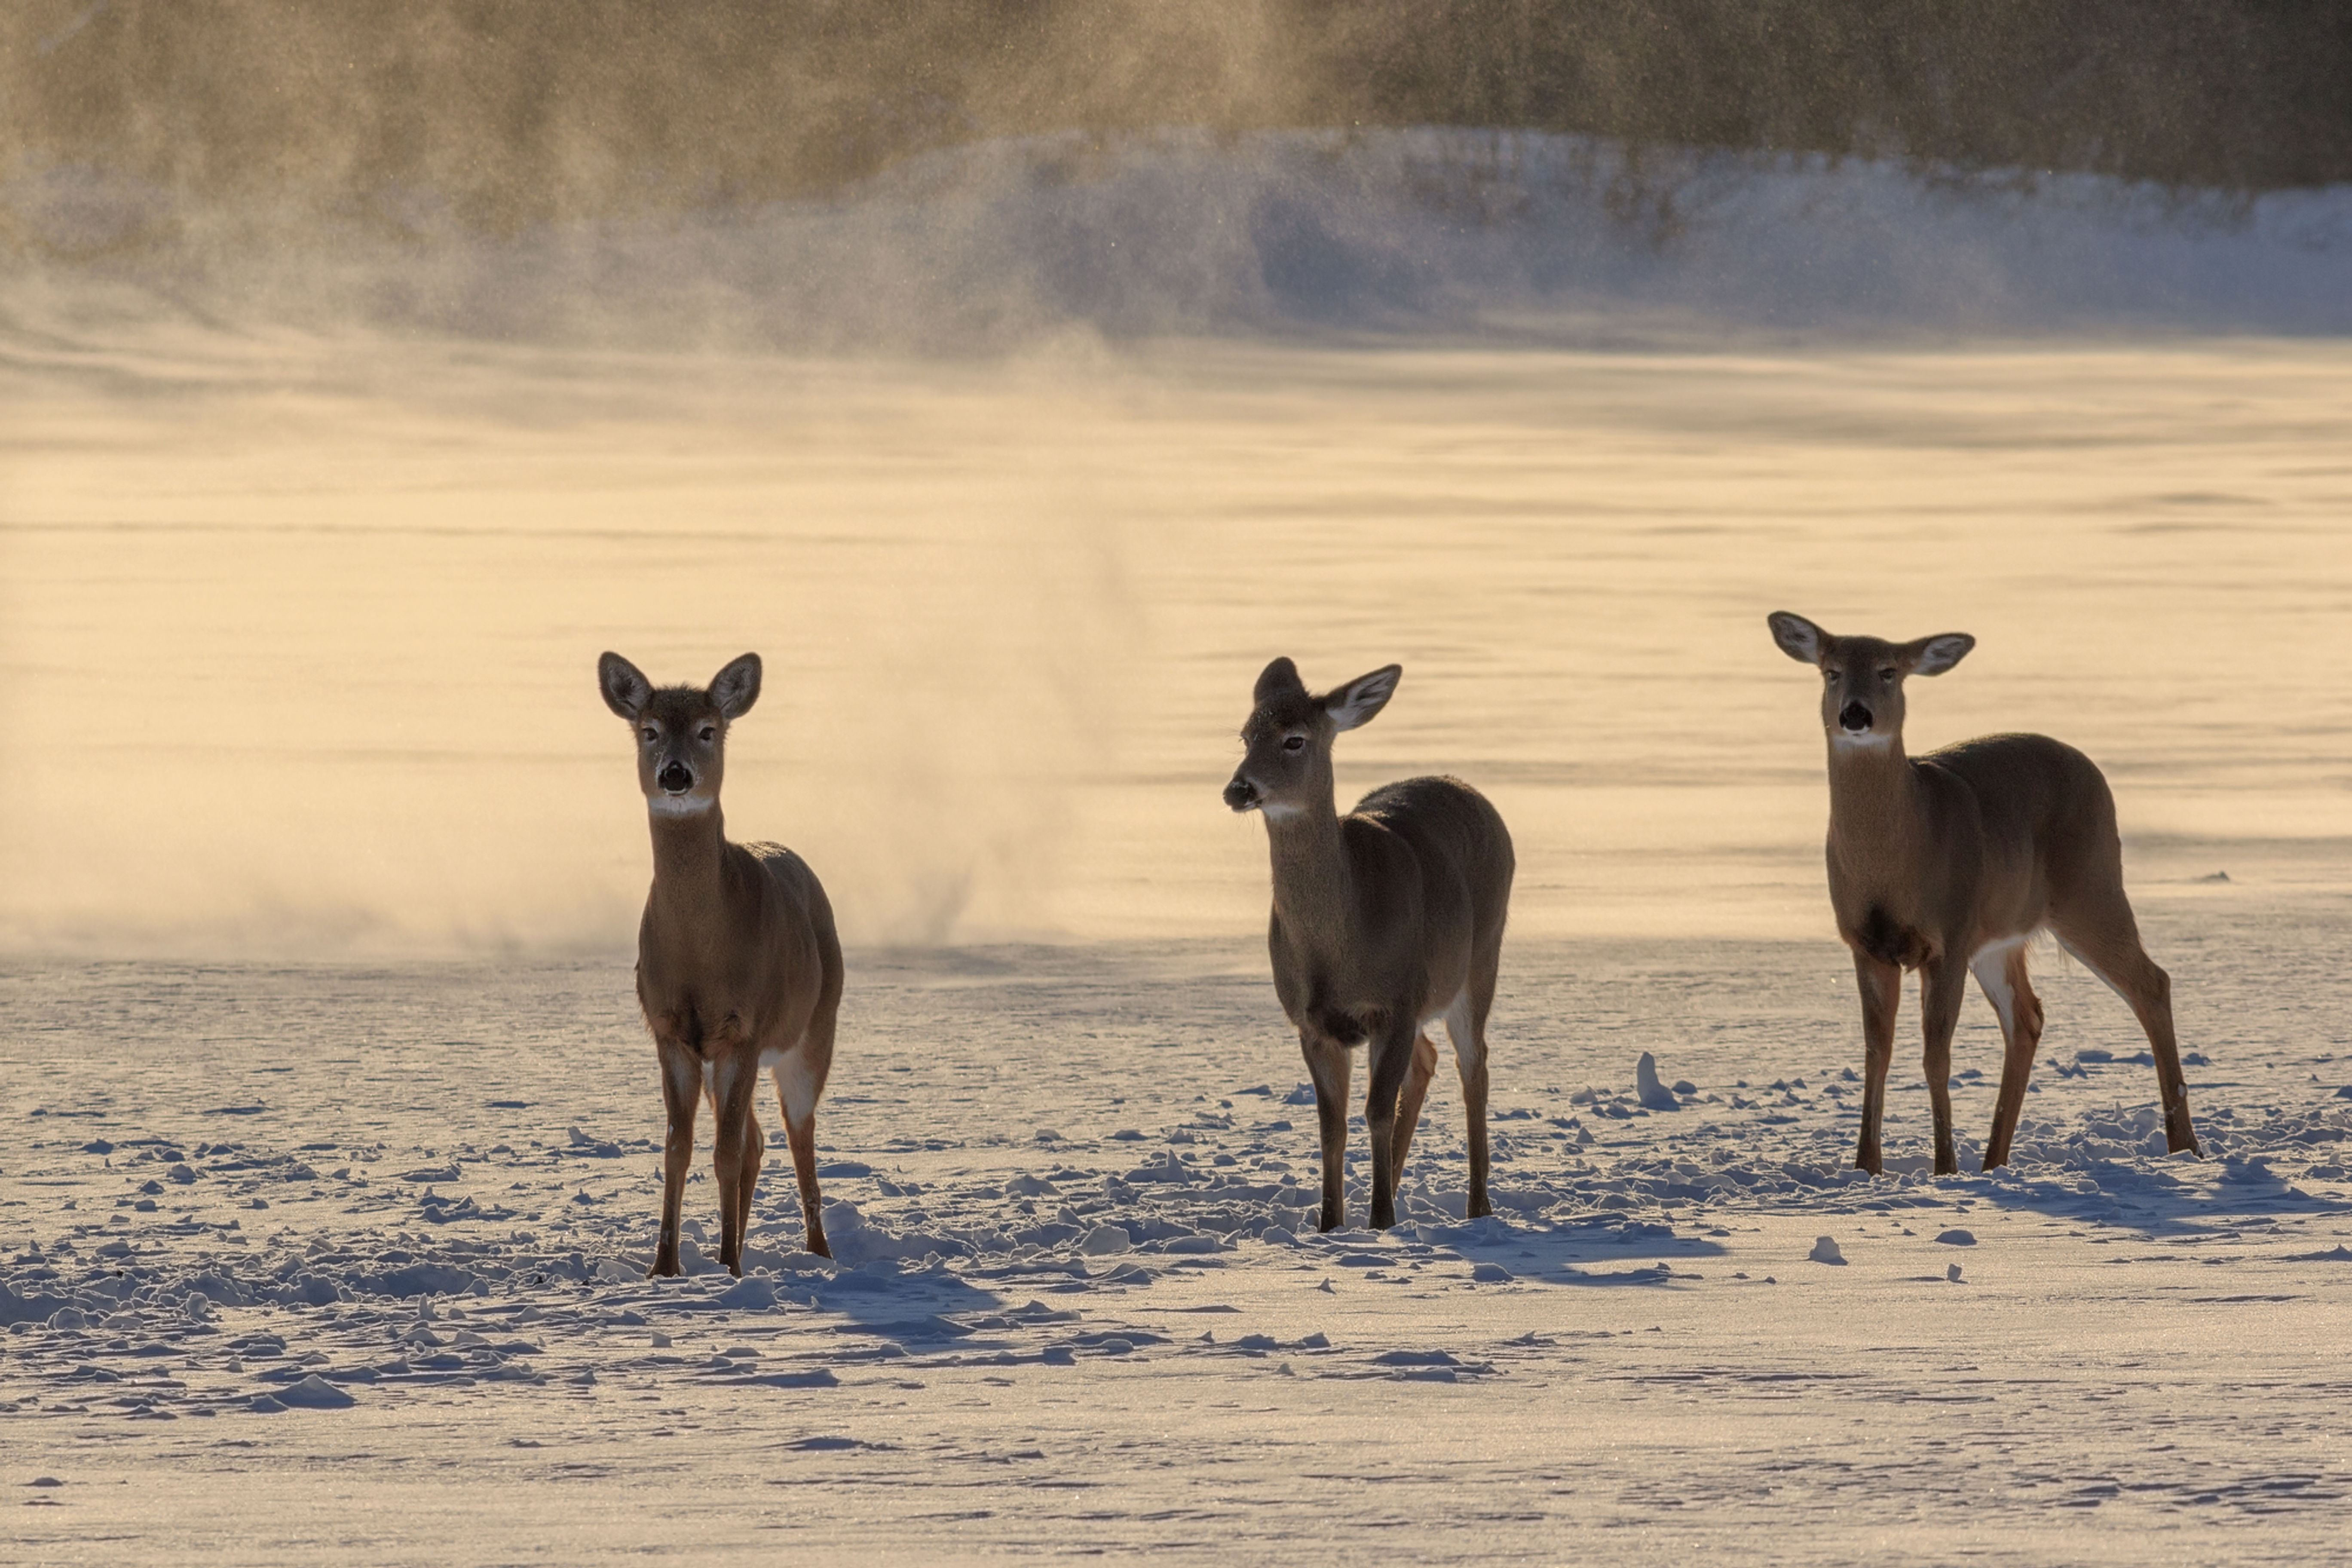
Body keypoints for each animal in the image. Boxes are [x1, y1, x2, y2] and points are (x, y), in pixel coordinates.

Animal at [598, 650, 842, 1275]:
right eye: (650, 730)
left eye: (709, 730)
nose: (675, 774)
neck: (702, 952)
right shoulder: (671, 1030)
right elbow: (678, 1149)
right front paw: (665, 1266)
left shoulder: (745, 1027)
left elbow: (724, 1152)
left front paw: (729, 1268)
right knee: (758, 1141)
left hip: (815, 1029)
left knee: (798, 1136)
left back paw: (817, 1253)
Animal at [1224, 659, 1516, 1232]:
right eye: (1245, 736)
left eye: (1295, 739)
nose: (1238, 789)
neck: (1339, 946)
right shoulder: (1310, 1022)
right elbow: (1331, 1125)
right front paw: (1331, 1223)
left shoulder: (1395, 1004)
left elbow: (1376, 1110)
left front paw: (1380, 1220)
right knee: (1427, 1061)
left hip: (1478, 960)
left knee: (1474, 1066)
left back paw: (1478, 1208)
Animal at [1766, 612, 2202, 1177]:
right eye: (1831, 671)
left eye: (1889, 671)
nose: (1855, 714)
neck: (1899, 858)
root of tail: (2095, 772)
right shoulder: (1866, 943)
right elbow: (1876, 1053)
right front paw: (1866, 1168)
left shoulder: (1949, 934)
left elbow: (1936, 1055)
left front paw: (1944, 1168)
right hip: (2003, 935)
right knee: (2028, 1017)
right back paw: (1995, 1162)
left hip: (2092, 887)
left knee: (2152, 983)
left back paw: (2184, 1147)